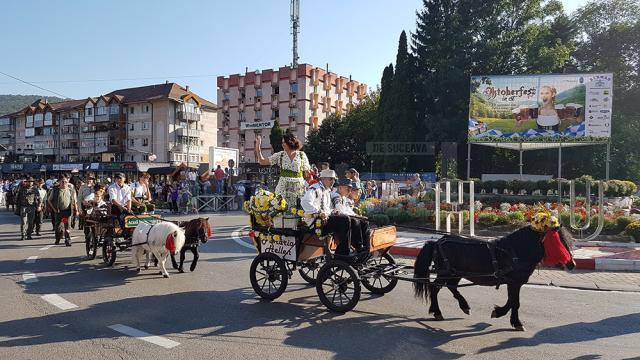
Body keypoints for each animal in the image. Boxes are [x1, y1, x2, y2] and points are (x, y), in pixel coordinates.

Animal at [412, 226, 576, 330]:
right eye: (558, 241)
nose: (572, 264)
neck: (515, 251)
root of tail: (437, 242)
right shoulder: (514, 282)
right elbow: (515, 303)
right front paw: (515, 322)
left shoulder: (514, 282)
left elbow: (512, 301)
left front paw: (499, 313)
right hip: (445, 272)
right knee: (435, 287)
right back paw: (437, 311)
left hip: (455, 273)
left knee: (451, 287)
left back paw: (464, 306)